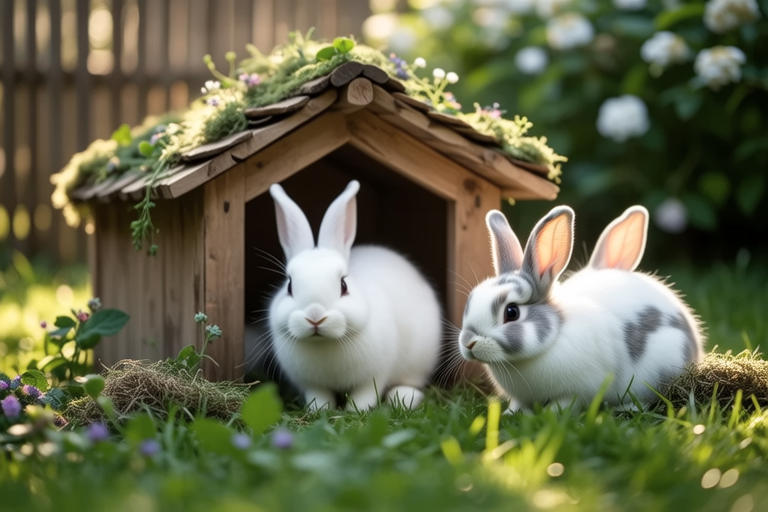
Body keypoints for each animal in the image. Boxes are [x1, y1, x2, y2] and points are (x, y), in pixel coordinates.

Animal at [267, 180, 442, 411]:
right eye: (289, 286)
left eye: (344, 285)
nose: (315, 316)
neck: (325, 342)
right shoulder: (312, 384)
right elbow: (319, 396)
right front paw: (319, 410)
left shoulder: (374, 376)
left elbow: (365, 394)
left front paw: (356, 410)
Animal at [458, 205, 704, 413]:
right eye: (471, 299)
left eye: (511, 312)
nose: (469, 343)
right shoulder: (521, 396)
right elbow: (518, 404)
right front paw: (510, 414)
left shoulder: (580, 390)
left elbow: (566, 404)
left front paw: (550, 414)